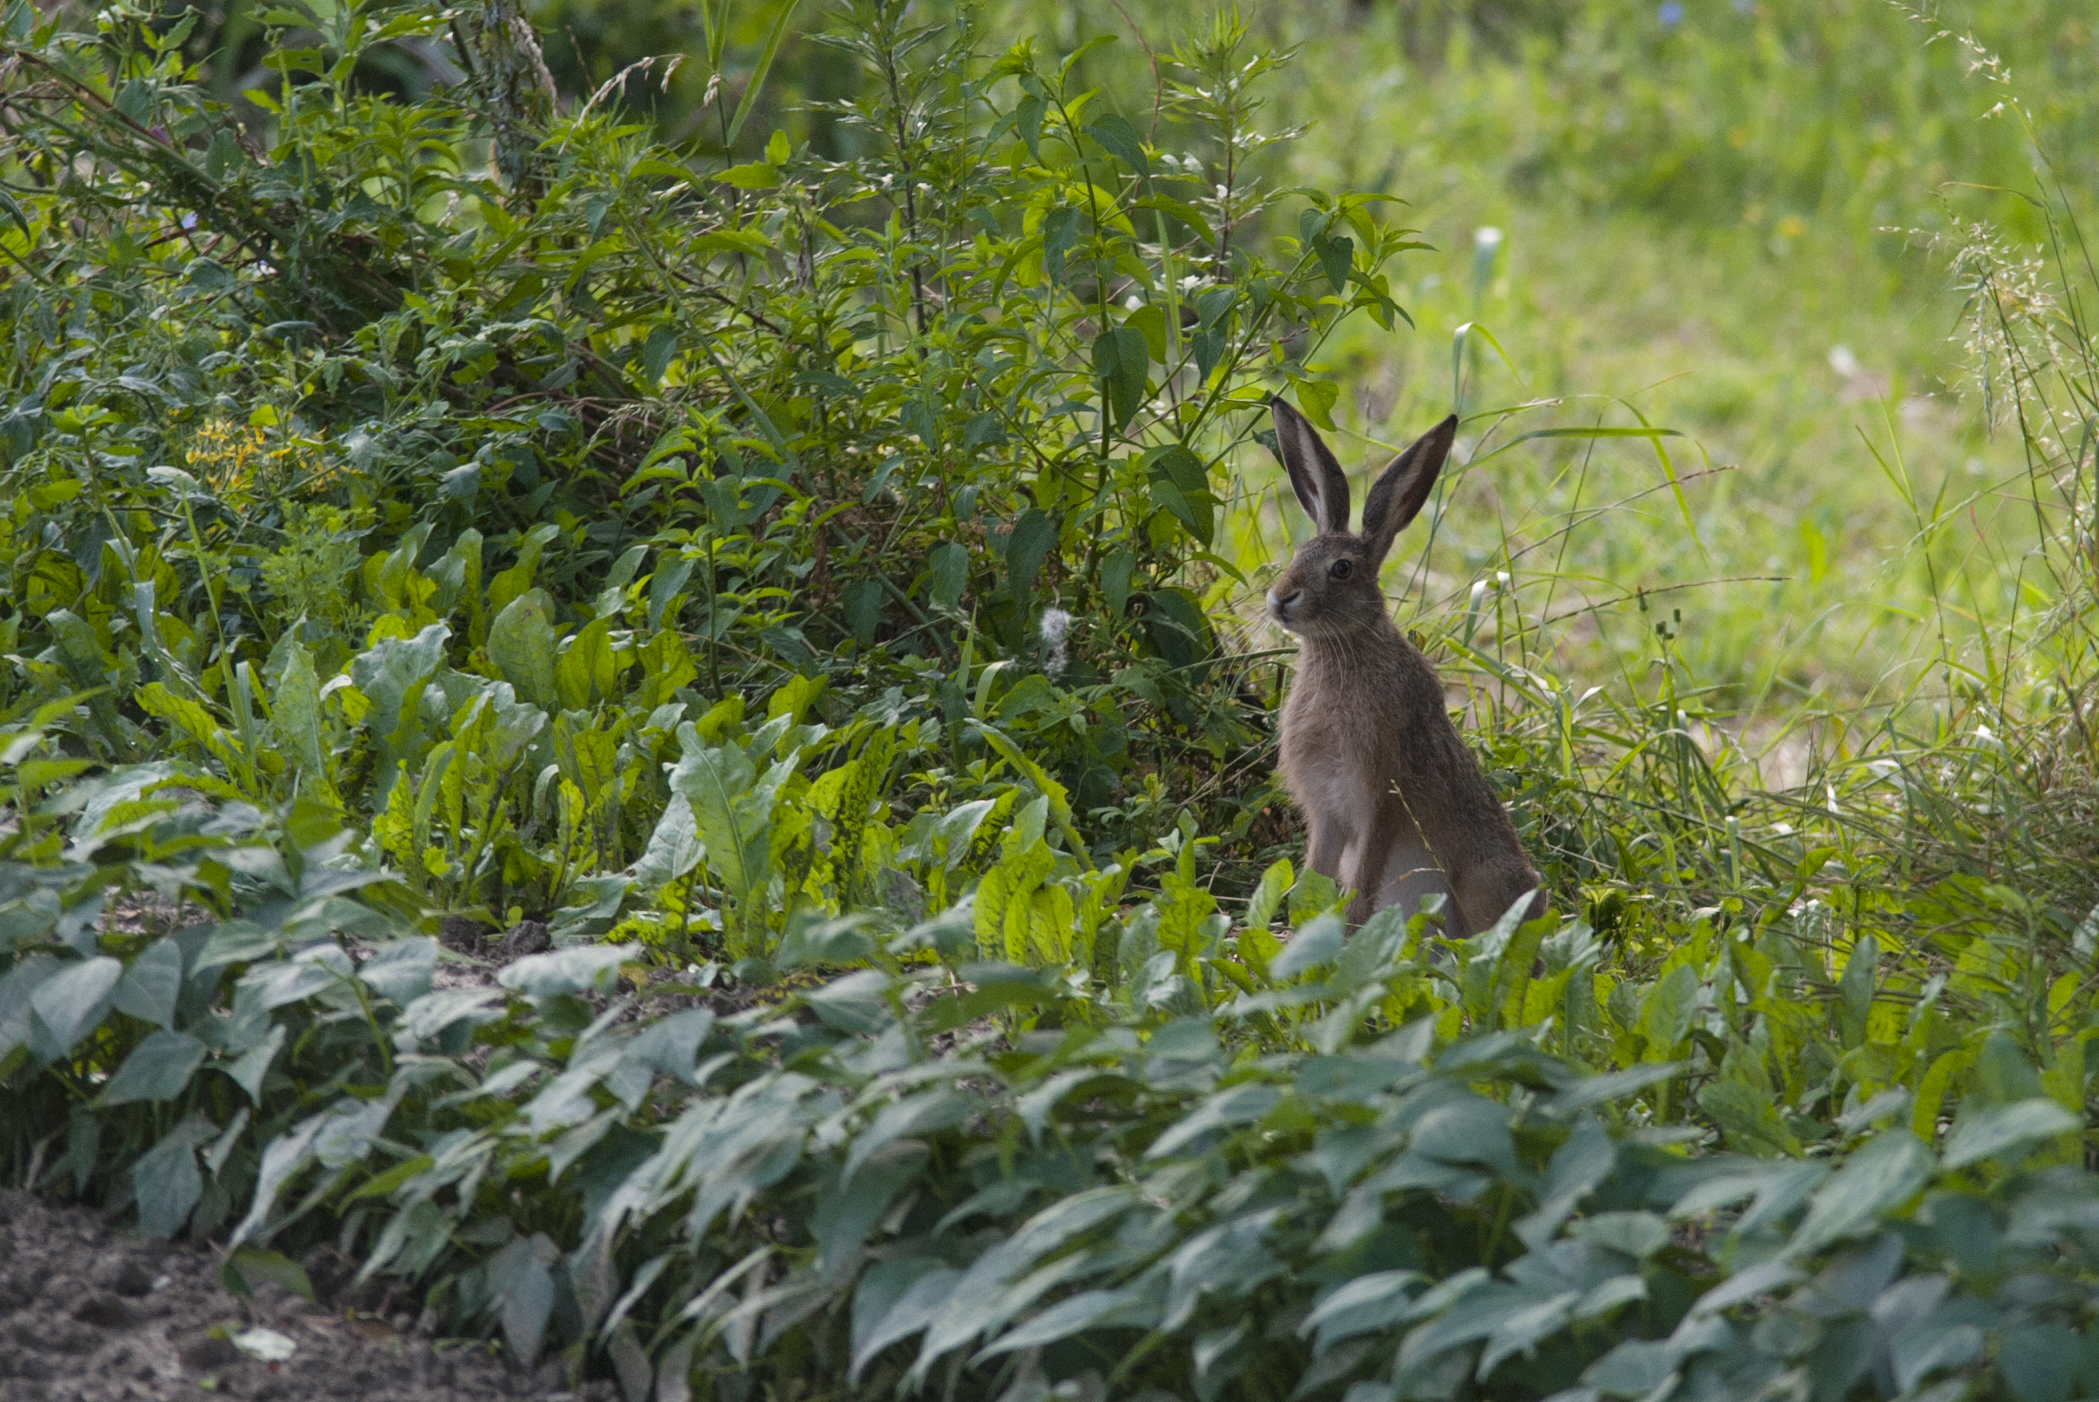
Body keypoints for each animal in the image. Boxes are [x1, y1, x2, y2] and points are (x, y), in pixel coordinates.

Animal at [1263, 396, 1544, 937]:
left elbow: (1358, 892)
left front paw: (1346, 940)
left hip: (1484, 884)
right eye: (1296, 554)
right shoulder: (1328, 813)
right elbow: (1314, 879)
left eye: (1342, 569)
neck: (1342, 648)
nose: (1281, 598)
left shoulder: (1383, 802)